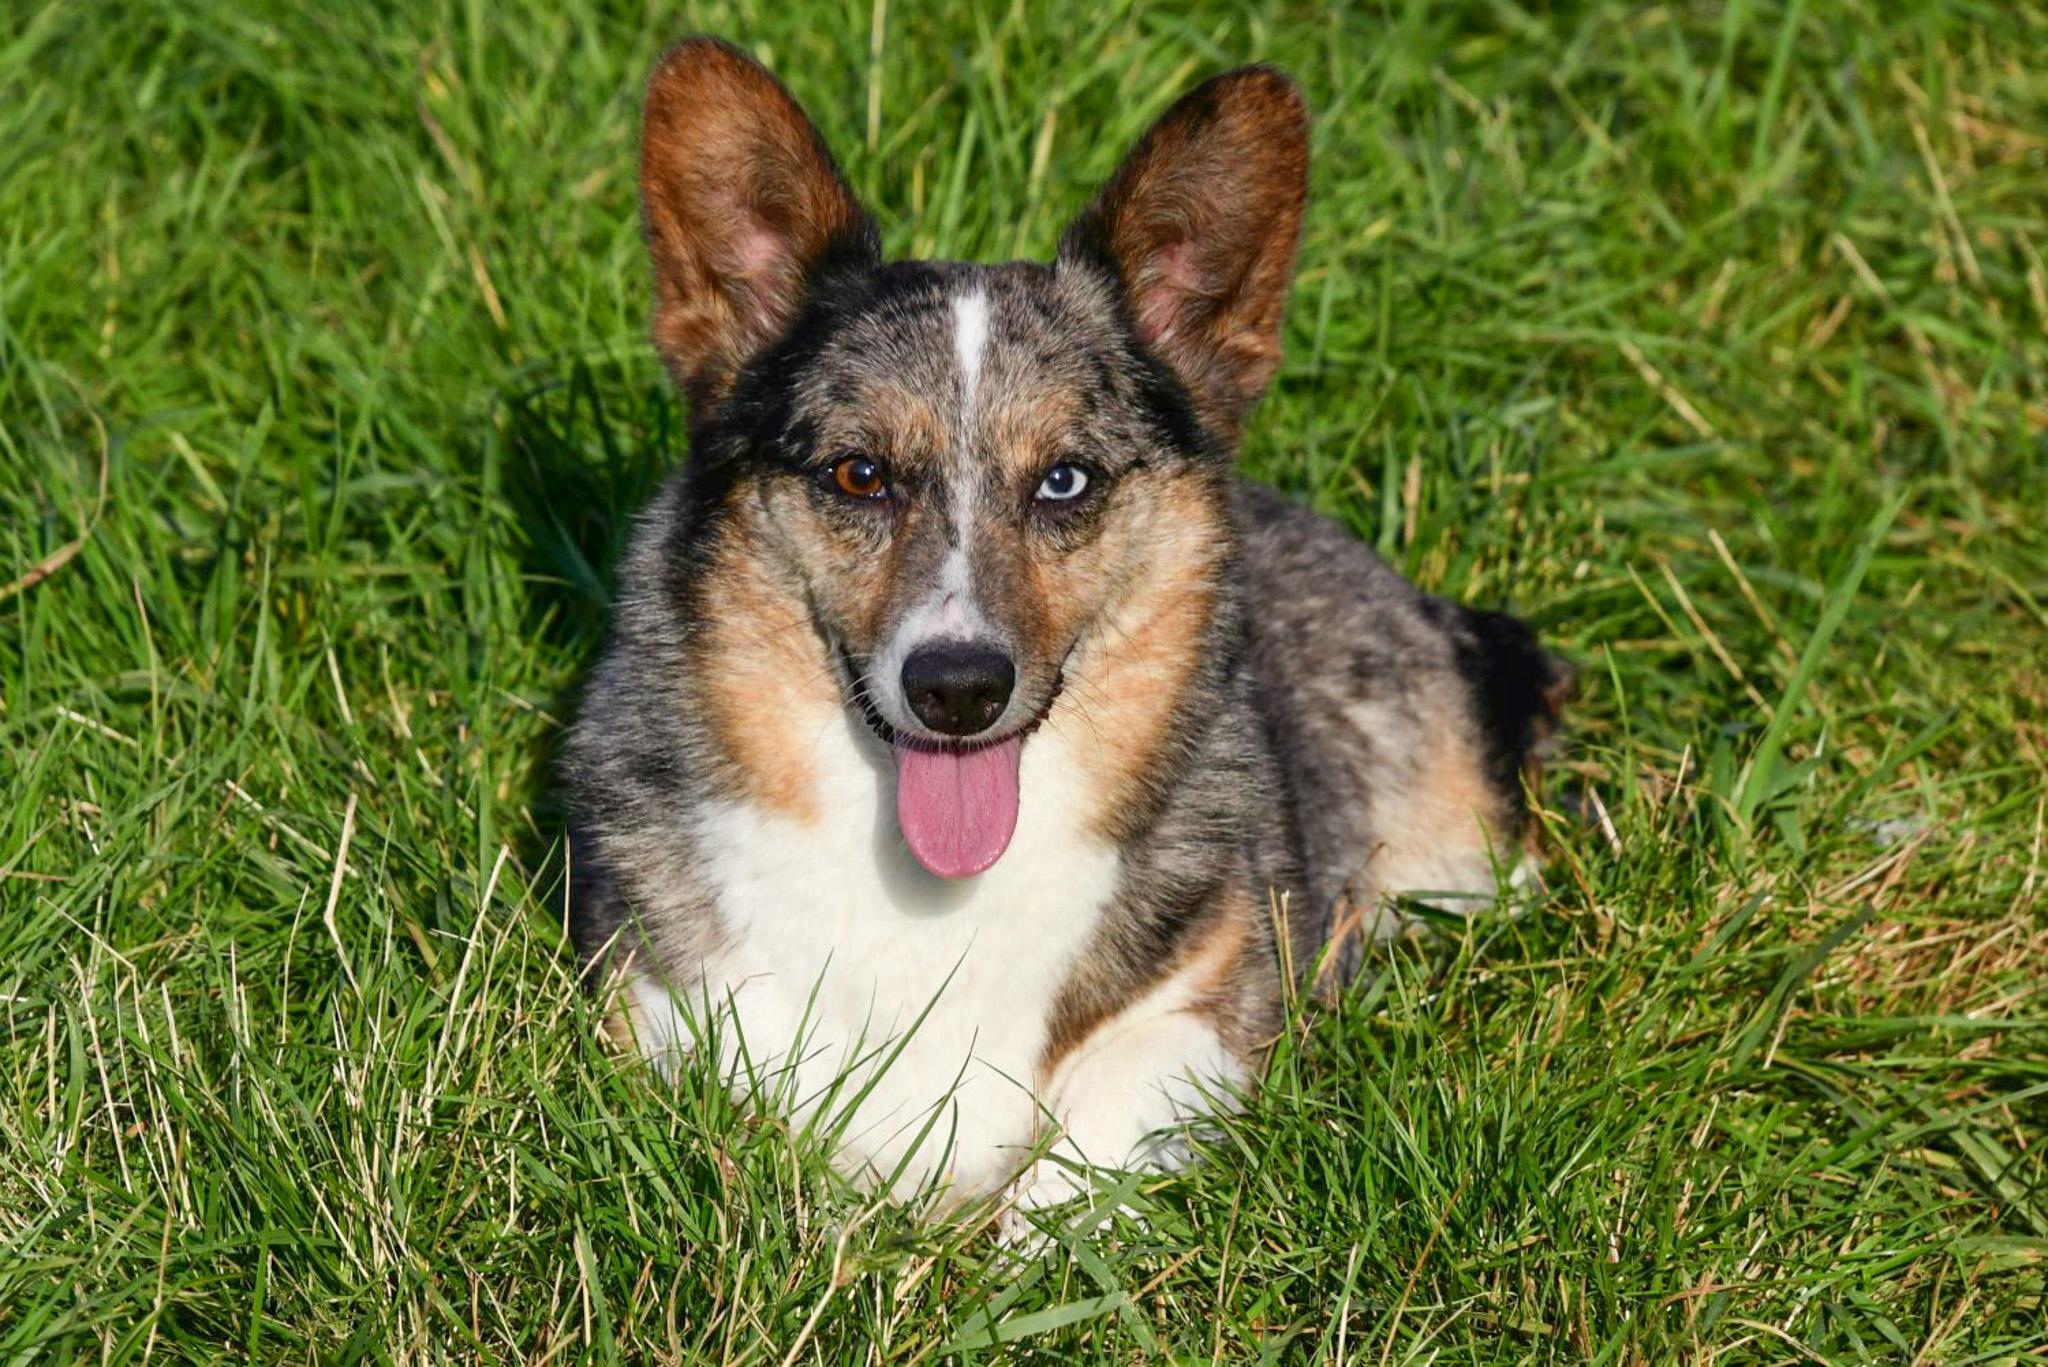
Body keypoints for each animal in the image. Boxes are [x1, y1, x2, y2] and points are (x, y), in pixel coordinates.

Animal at [565, 38, 1568, 1215]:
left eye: (1064, 480)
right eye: (858, 474)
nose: (957, 688)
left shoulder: (1198, 1014)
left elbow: (1080, 1158)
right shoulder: (668, 1006)